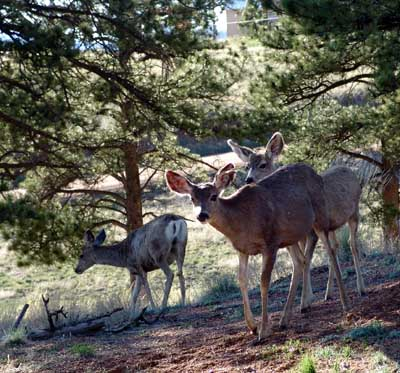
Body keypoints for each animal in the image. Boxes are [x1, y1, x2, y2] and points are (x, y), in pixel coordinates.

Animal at [164, 161, 348, 342]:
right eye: (192, 198)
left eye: (213, 196)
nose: (202, 215)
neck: (242, 221)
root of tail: (315, 174)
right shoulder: (242, 249)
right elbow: (242, 280)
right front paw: (252, 326)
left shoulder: (270, 243)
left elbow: (264, 281)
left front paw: (264, 330)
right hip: (289, 236)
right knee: (300, 261)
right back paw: (285, 319)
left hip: (320, 216)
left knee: (330, 251)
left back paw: (344, 302)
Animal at [228, 132, 366, 310]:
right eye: (247, 166)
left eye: (263, 165)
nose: (248, 179)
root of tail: (349, 170)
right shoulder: (296, 235)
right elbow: (302, 260)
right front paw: (307, 298)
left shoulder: (310, 233)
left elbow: (306, 260)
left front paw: (305, 301)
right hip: (332, 226)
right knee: (335, 247)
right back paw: (328, 293)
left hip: (354, 212)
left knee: (352, 244)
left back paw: (361, 288)